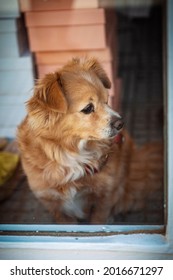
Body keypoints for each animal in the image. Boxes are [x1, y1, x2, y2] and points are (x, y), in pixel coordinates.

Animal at [16, 57, 163, 223]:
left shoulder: (104, 197)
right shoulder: (55, 205)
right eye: (88, 108)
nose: (121, 123)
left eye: (107, 101)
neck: (73, 155)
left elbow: (98, 220)